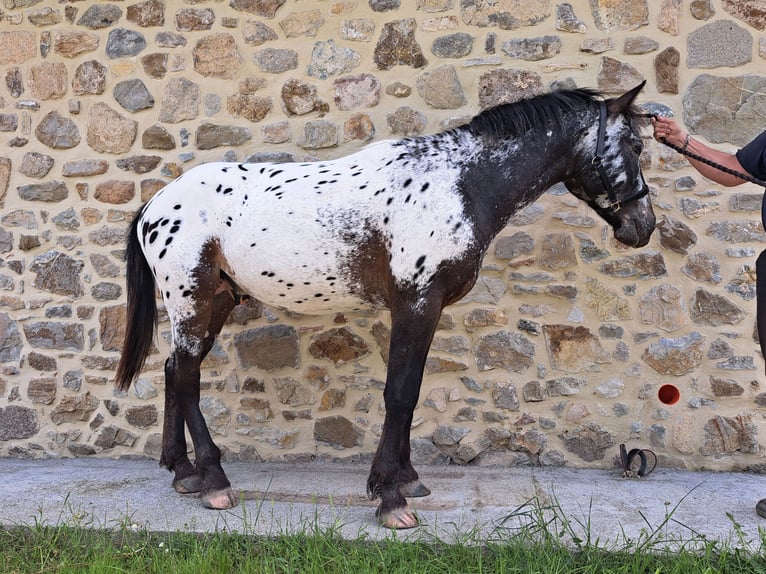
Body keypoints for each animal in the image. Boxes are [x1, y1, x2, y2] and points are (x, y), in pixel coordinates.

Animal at [117, 81, 656, 532]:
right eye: (635, 145)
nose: (644, 226)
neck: (460, 183)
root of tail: (154, 205)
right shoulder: (416, 303)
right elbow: (400, 394)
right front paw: (390, 500)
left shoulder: (427, 308)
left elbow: (411, 392)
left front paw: (407, 479)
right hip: (192, 298)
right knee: (187, 377)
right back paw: (214, 483)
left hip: (219, 300)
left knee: (174, 370)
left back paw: (183, 473)